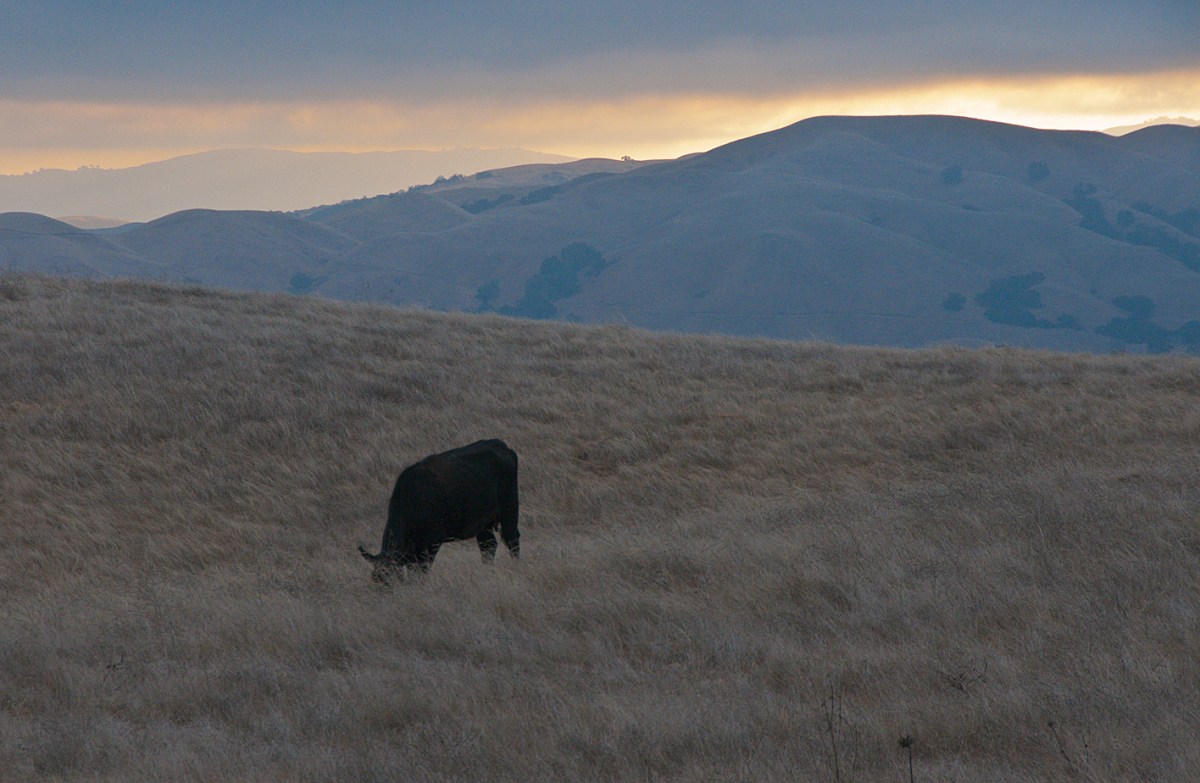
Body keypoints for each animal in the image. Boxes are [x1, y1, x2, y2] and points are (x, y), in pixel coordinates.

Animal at [358, 439, 519, 584]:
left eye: (393, 577)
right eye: (376, 579)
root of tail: (502, 445)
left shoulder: (432, 542)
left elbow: (422, 569)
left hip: (509, 509)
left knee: (512, 539)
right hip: (483, 524)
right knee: (488, 545)